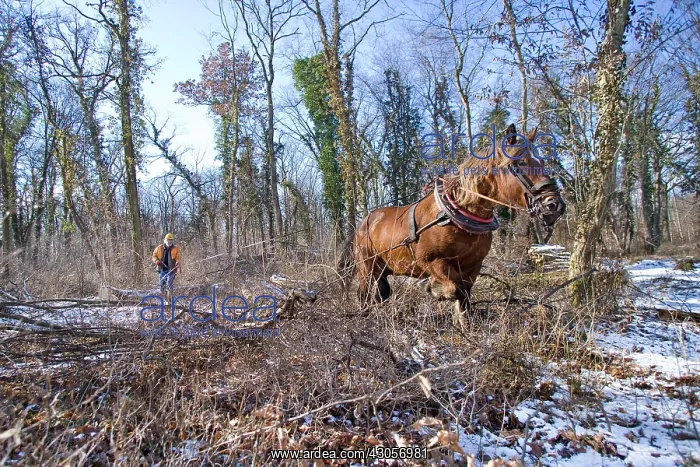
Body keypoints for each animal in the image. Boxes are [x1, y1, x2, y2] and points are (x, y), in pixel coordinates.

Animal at [342, 123, 566, 319]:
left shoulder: (473, 265)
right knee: (364, 295)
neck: (460, 215)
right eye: (519, 163)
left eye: (542, 162)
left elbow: (464, 298)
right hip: (367, 268)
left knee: (381, 294)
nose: (555, 205)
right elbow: (454, 289)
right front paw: (435, 289)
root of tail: (364, 222)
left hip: (383, 270)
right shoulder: (431, 261)